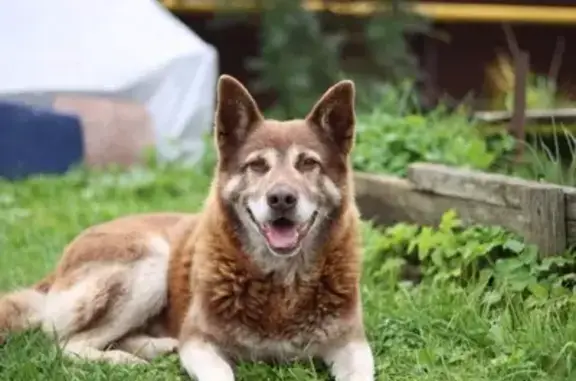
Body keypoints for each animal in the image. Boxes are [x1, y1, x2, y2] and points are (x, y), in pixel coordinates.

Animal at [0, 75, 376, 380]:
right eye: (257, 165)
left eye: (308, 163)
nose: (281, 198)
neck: (282, 285)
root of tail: (58, 267)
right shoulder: (200, 343)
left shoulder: (353, 345)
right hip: (150, 262)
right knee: (65, 343)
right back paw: (124, 359)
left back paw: (155, 346)